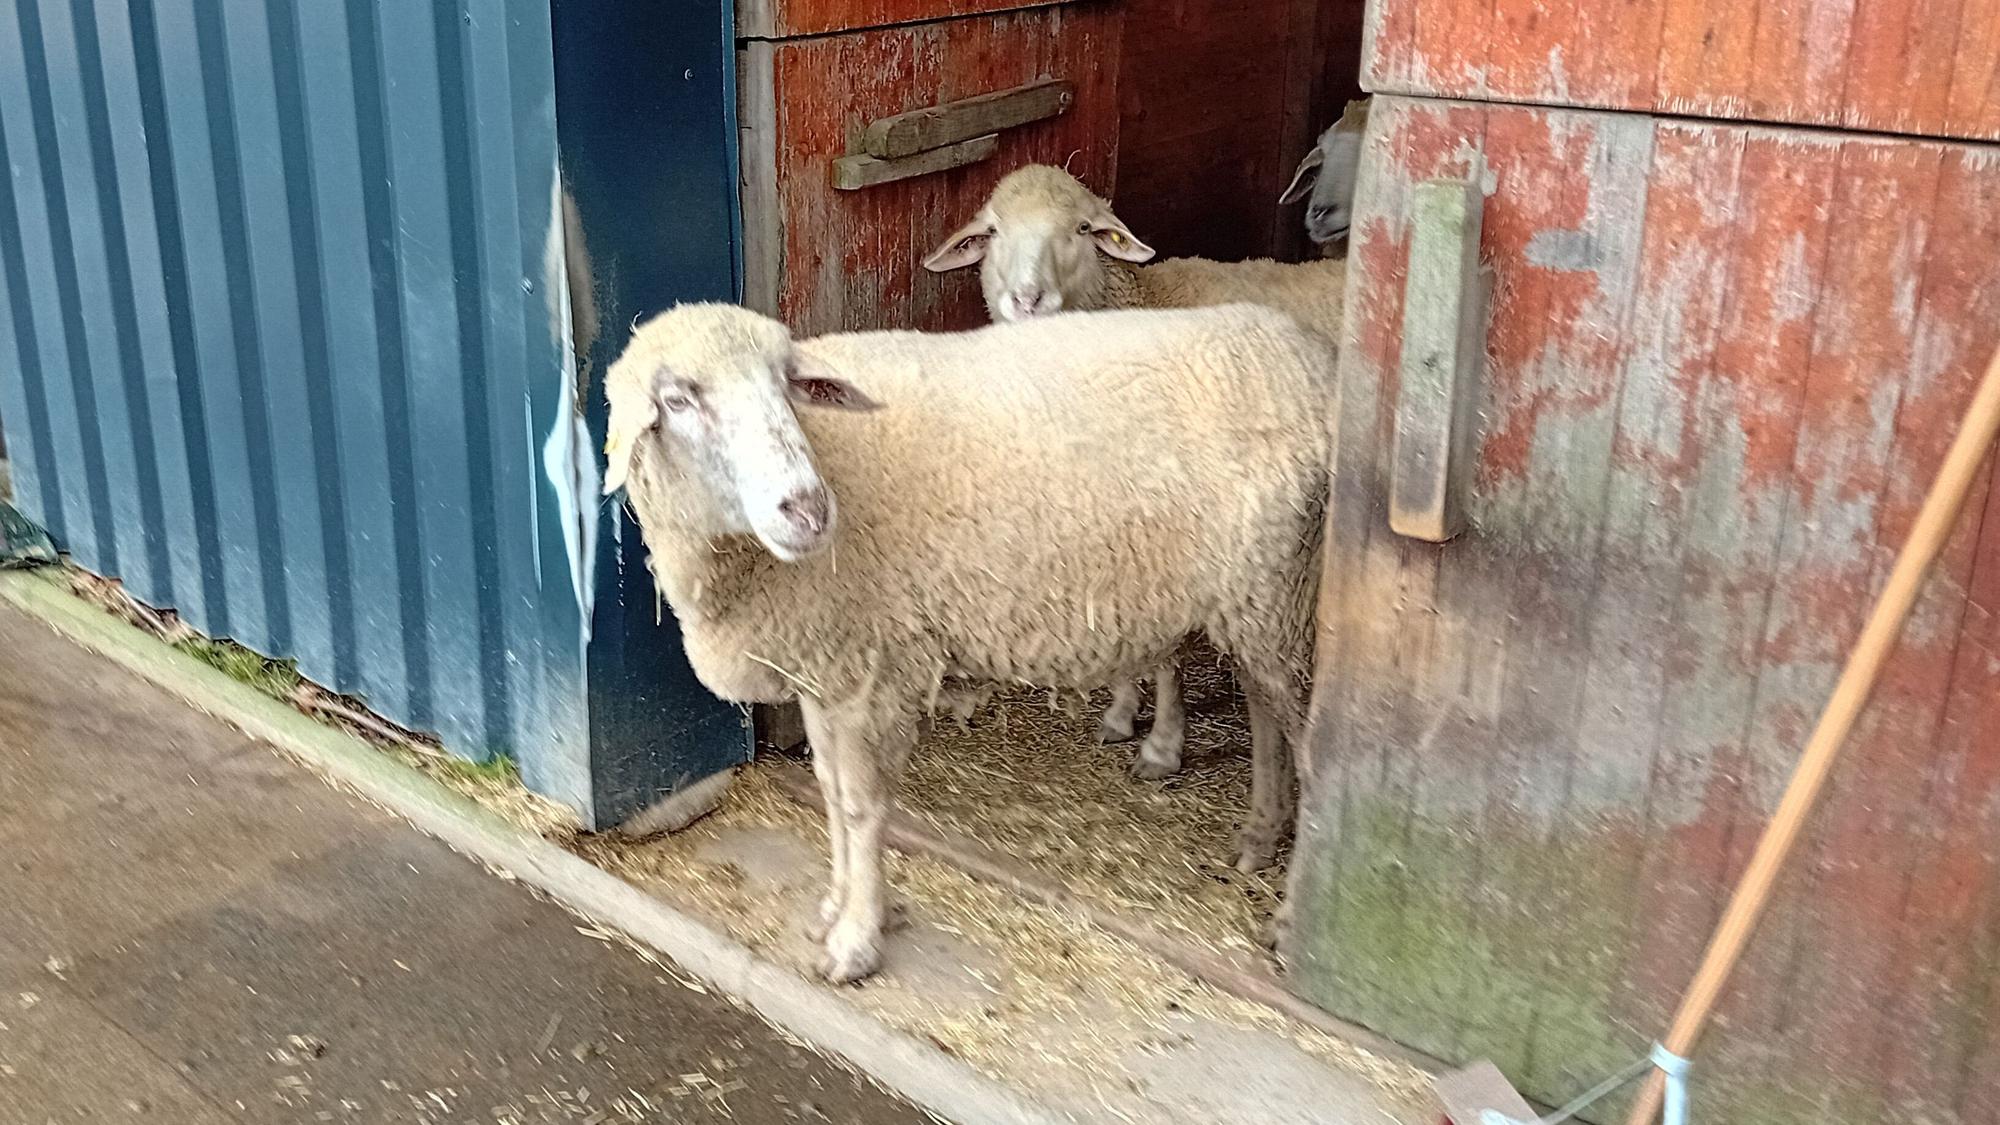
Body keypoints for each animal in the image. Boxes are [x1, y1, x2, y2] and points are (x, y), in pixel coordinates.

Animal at [601, 301, 1332, 983]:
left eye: (787, 384)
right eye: (677, 399)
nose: (808, 509)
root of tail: (1303, 352)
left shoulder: (875, 669)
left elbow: (861, 806)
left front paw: (857, 939)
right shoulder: (827, 664)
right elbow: (831, 792)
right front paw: (836, 907)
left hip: (1287, 593)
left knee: (1311, 757)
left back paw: (1290, 920)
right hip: (1257, 601)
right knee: (1265, 713)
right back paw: (1257, 838)